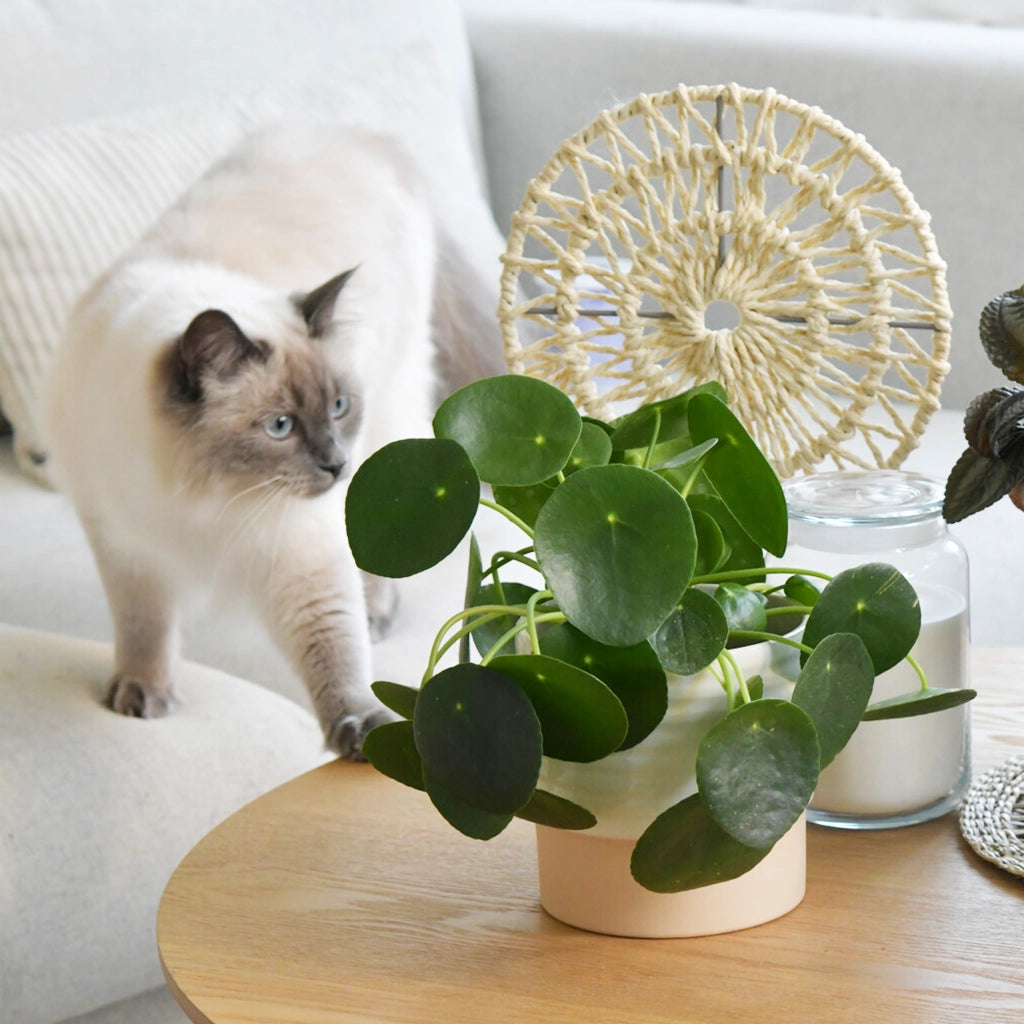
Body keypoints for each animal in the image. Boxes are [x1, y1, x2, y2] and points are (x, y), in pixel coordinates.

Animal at [46, 123, 505, 757]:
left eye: (338, 407)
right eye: (280, 426)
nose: (336, 465)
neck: (205, 501)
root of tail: (364, 137)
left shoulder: (299, 553)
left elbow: (335, 651)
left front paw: (364, 730)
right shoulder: (125, 545)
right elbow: (144, 627)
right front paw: (142, 696)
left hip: (391, 417)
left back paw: (377, 613)